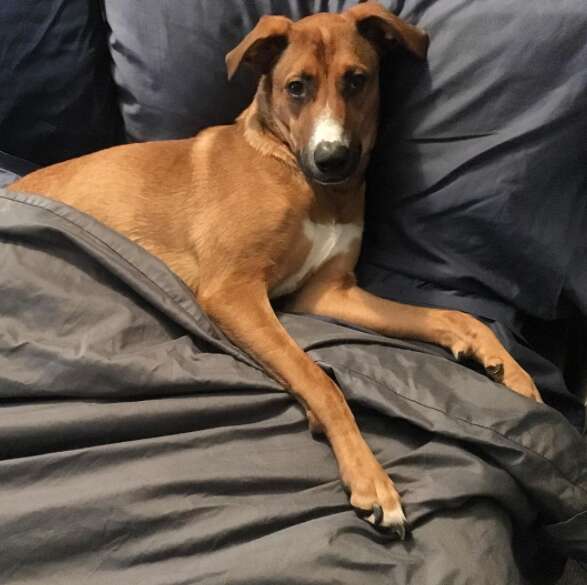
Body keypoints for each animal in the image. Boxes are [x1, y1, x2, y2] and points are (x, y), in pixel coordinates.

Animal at [10, 1, 544, 540]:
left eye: (357, 80)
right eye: (296, 87)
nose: (333, 159)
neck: (308, 183)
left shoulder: (330, 292)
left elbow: (450, 316)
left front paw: (508, 369)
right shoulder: (233, 291)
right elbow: (318, 379)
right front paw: (370, 478)